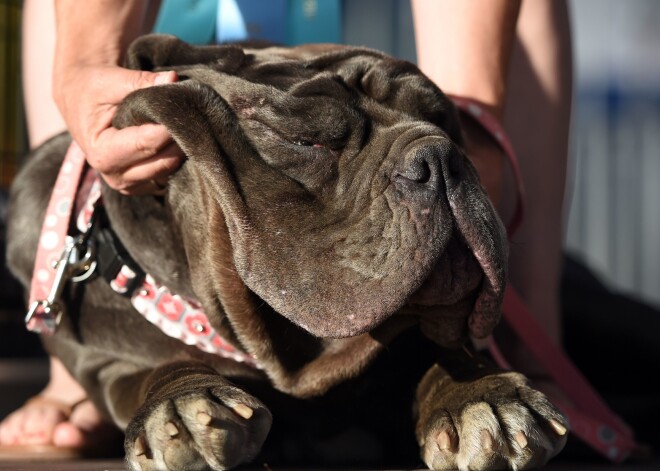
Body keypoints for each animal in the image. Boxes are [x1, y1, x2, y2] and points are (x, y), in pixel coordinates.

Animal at [7, 35, 568, 470]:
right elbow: (157, 367)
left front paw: (484, 396)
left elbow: (438, 351)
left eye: (447, 123)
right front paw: (184, 403)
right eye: (304, 140)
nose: (440, 155)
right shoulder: (112, 363)